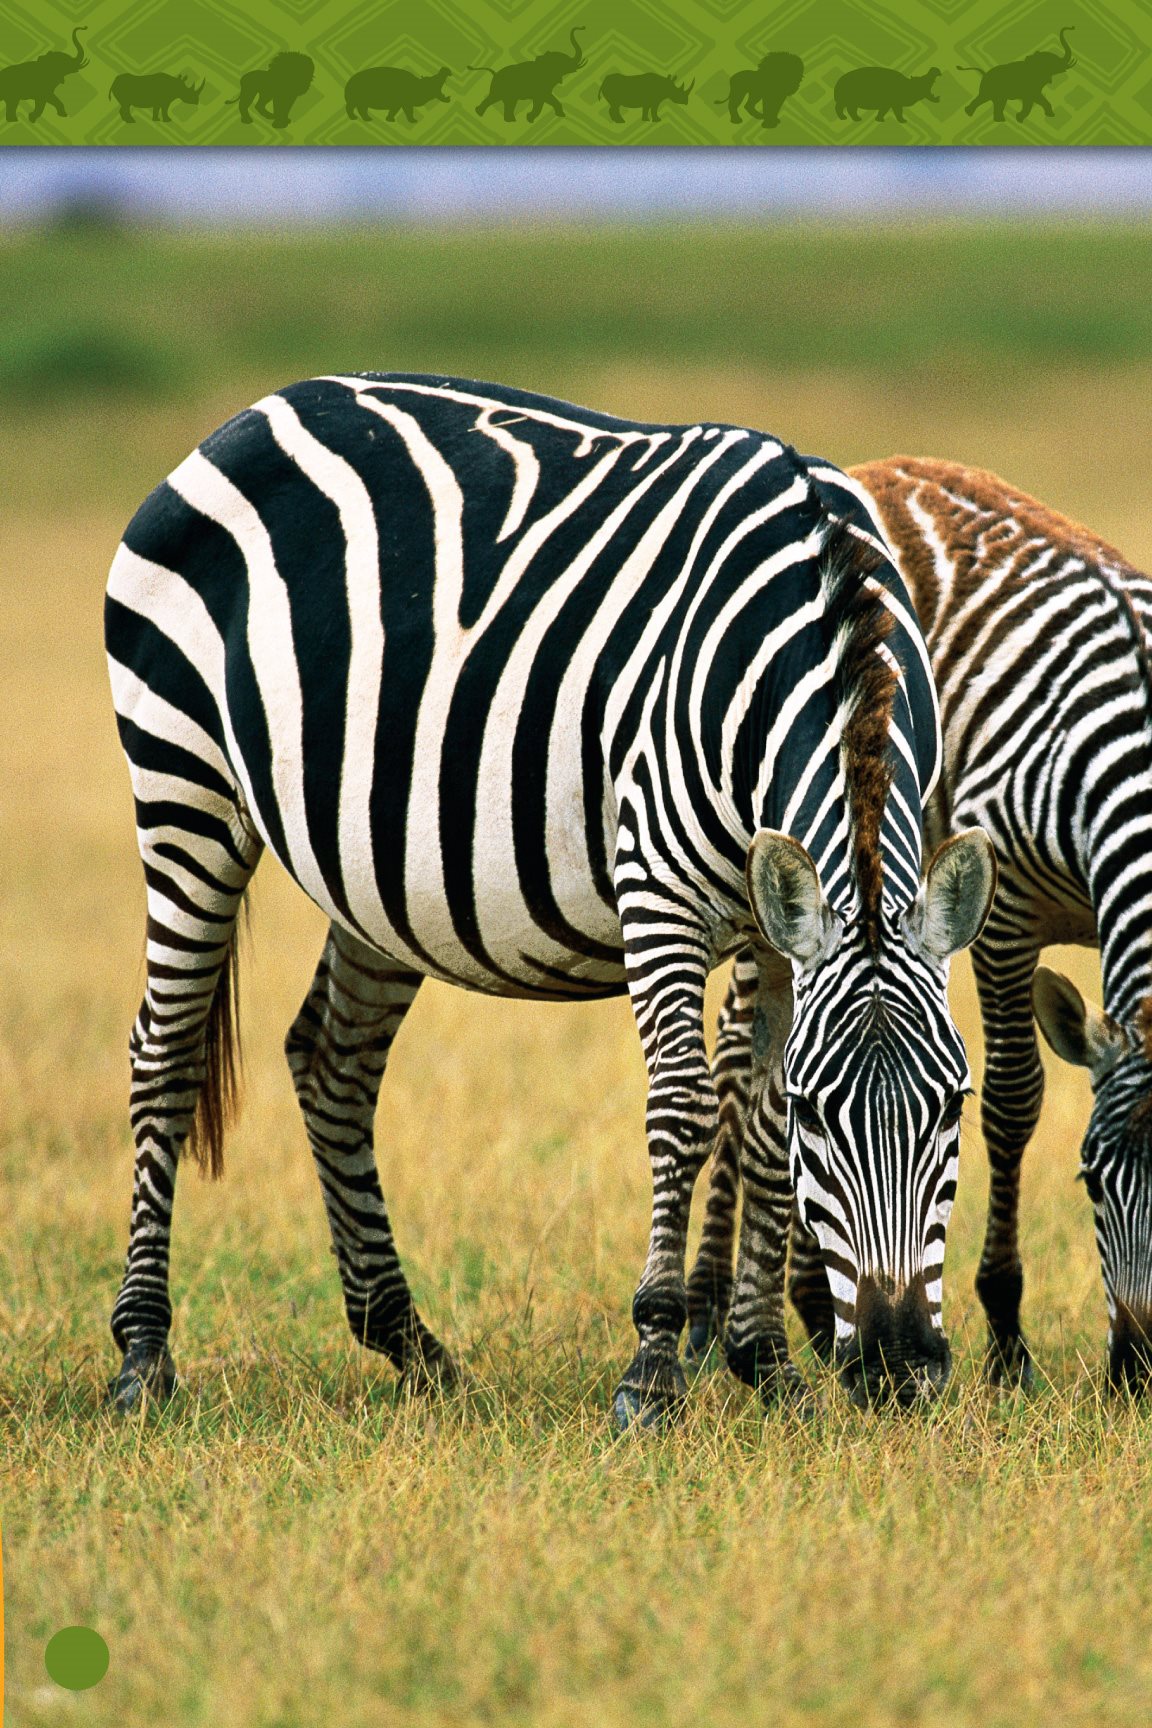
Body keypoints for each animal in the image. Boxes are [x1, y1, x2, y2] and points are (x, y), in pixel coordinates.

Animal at [103, 381, 994, 1430]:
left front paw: (769, 1365)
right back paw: (143, 1356)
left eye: (955, 1106)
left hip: (374, 870)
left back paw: (408, 1342)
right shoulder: (660, 892)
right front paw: (653, 1368)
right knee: (162, 1054)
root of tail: (254, 412)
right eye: (827, 1116)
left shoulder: (778, 934)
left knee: (331, 1061)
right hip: (184, 785)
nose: (899, 1369)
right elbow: (688, 1109)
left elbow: (757, 1117)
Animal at [690, 456, 1152, 1389]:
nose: (1144, 1374)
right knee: (736, 1063)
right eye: (1088, 1181)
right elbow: (1013, 1102)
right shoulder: (1004, 912)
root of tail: (875, 470)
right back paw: (726, 1309)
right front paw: (1008, 1341)